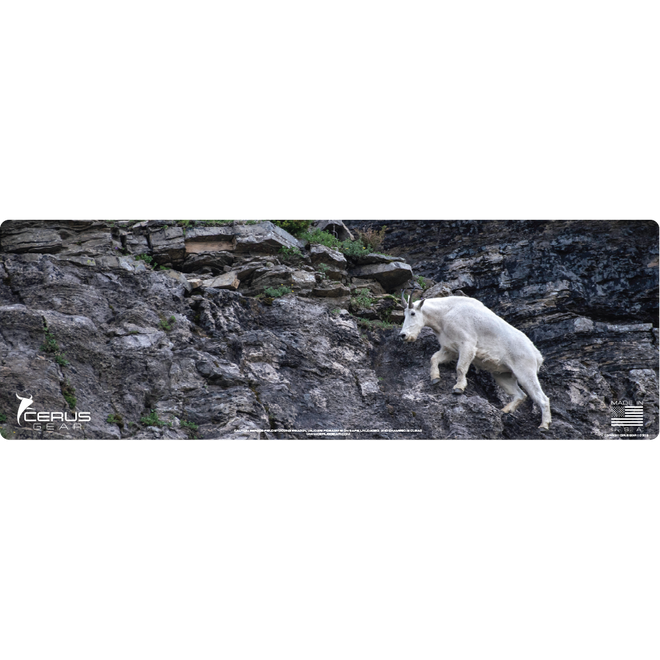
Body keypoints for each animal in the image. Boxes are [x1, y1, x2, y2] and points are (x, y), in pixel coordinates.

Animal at [400, 293, 552, 431]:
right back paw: (505, 410)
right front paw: (435, 378)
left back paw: (544, 425)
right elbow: (434, 358)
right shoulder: (450, 349)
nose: (403, 335)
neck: (444, 313)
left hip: (525, 371)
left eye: (413, 313)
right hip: (503, 375)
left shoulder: (467, 345)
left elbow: (460, 367)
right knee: (520, 395)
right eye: (404, 314)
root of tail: (537, 355)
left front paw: (458, 388)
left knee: (542, 398)